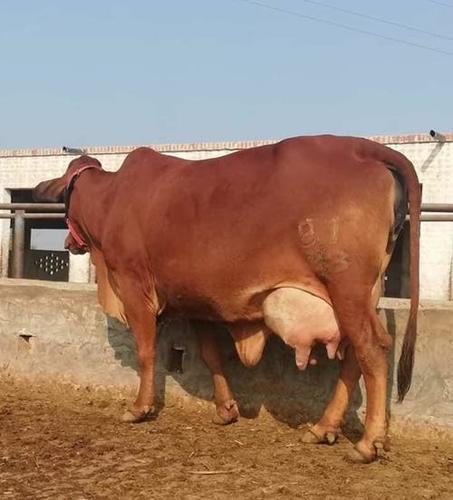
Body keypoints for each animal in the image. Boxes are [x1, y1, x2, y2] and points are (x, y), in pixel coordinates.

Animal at [32, 135, 420, 462]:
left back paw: (367, 443)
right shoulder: (197, 303)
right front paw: (226, 409)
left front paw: (139, 407)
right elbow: (210, 354)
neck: (111, 199)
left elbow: (146, 350)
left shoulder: (133, 285)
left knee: (372, 349)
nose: (67, 243)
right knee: (354, 354)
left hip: (347, 288)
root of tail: (361, 147)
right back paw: (323, 428)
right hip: (360, 295)